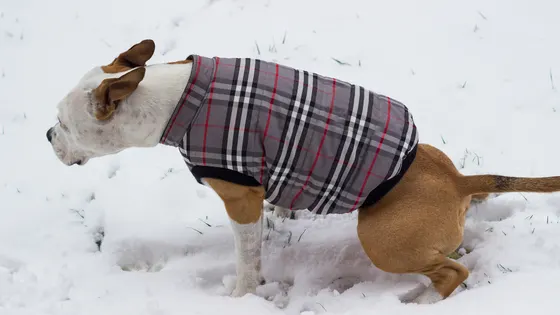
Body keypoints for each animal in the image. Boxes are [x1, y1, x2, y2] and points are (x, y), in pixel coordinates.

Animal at [46, 39, 560, 304]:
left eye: (65, 124)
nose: (48, 135)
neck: (175, 100)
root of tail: (457, 181)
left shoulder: (240, 198)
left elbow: (247, 259)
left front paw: (240, 297)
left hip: (381, 238)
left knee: (452, 274)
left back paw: (426, 300)